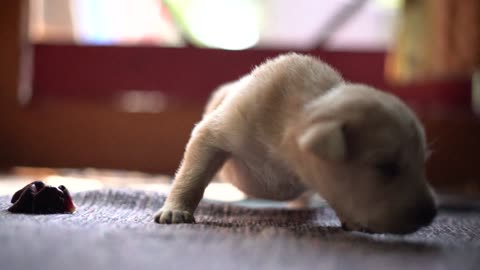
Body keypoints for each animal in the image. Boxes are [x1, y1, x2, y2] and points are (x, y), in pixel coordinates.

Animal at [154, 53, 436, 234]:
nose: (430, 215)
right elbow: (193, 174)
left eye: (421, 163)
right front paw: (176, 209)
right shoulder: (220, 129)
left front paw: (352, 220)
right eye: (385, 167)